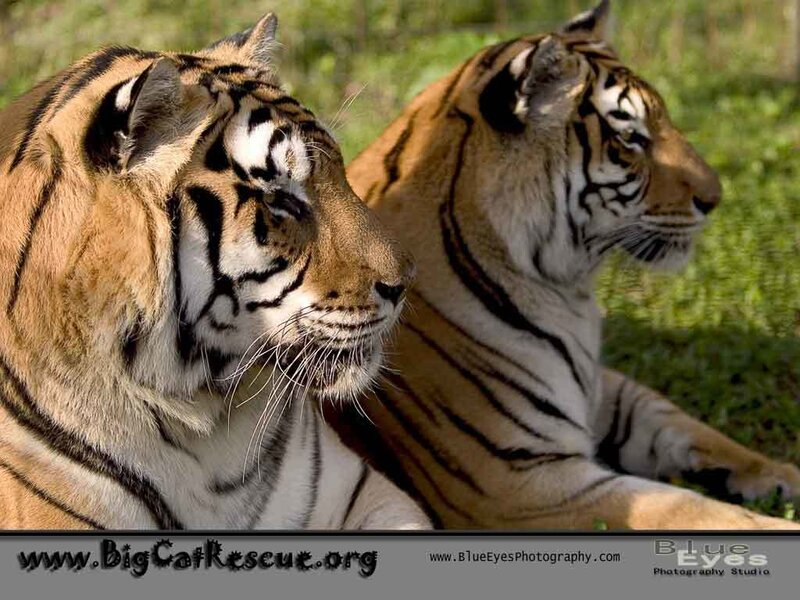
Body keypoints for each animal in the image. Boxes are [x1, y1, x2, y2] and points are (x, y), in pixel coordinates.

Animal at [338, 0, 800, 529]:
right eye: (631, 138)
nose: (715, 198)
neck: (564, 292)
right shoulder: (513, 481)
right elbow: (682, 505)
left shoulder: (600, 387)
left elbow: (684, 424)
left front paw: (780, 473)